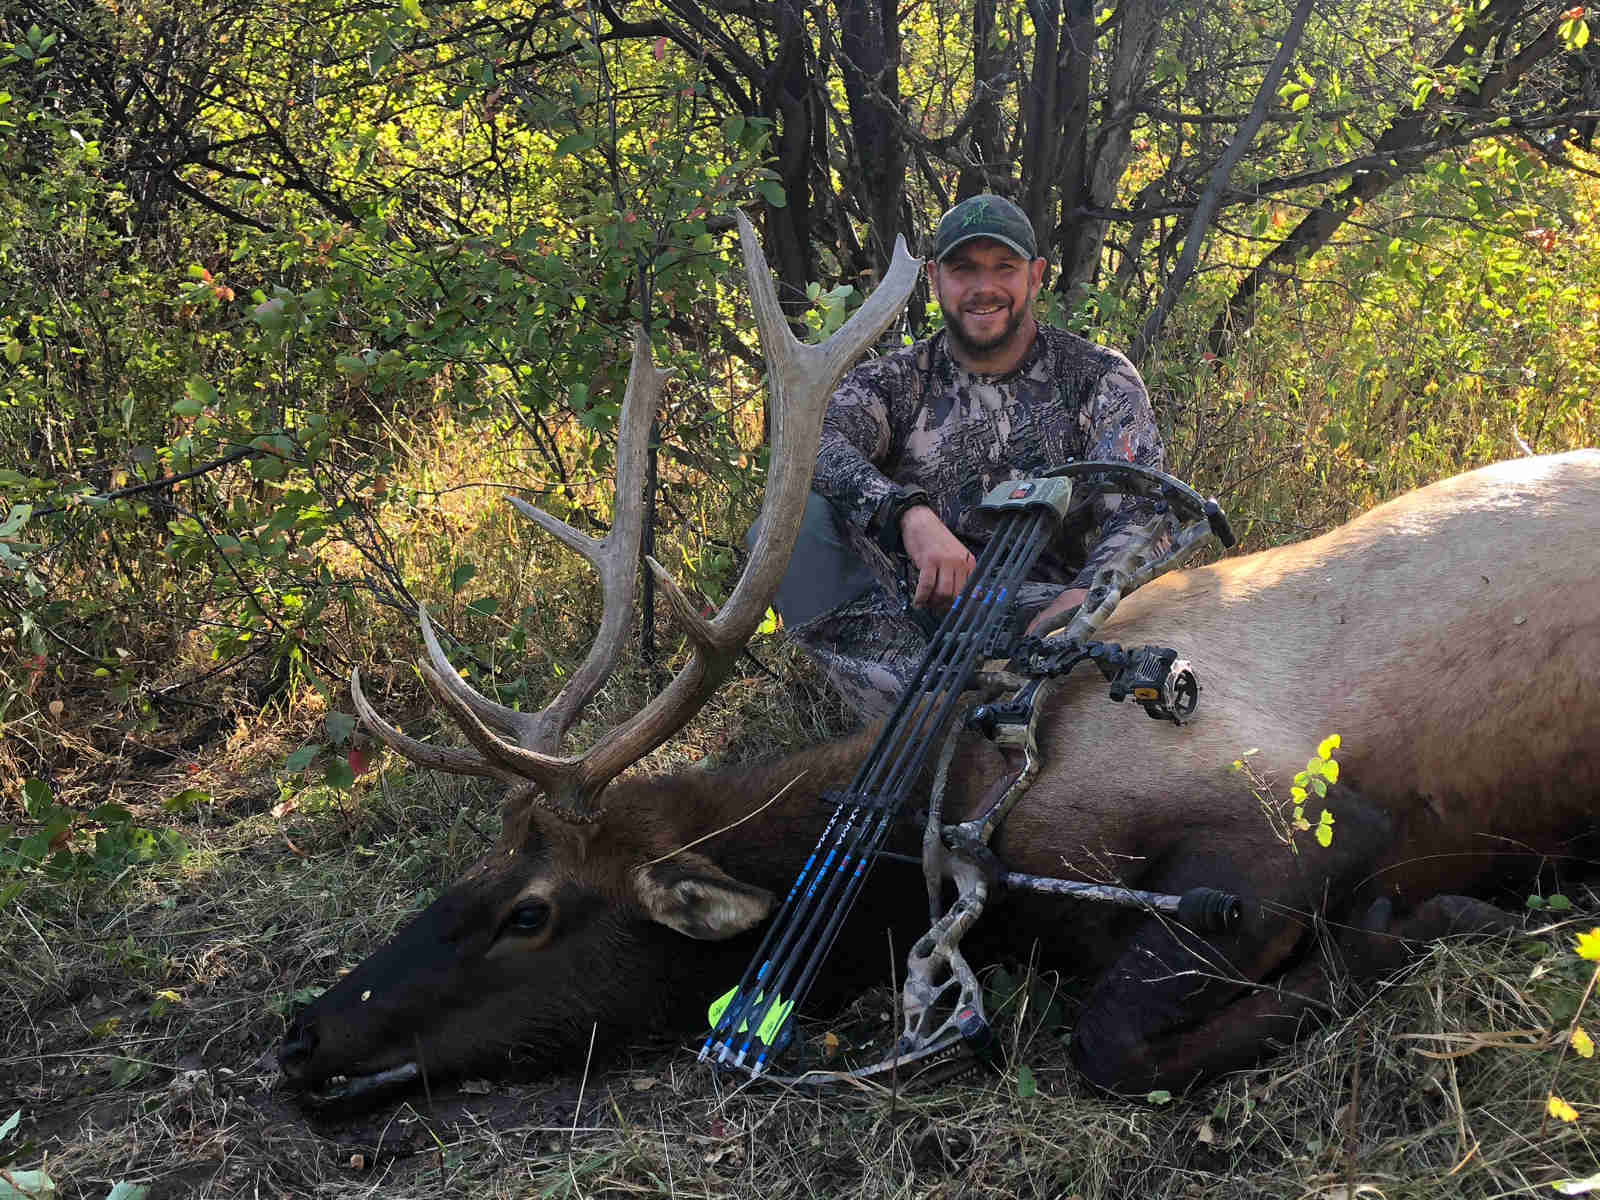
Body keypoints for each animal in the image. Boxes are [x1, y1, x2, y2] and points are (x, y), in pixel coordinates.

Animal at [276, 212, 1600, 1106]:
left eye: (530, 912)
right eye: (475, 869)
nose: (302, 1033)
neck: (952, 806)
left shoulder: (1296, 816)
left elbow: (1109, 1044)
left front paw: (1422, 920)